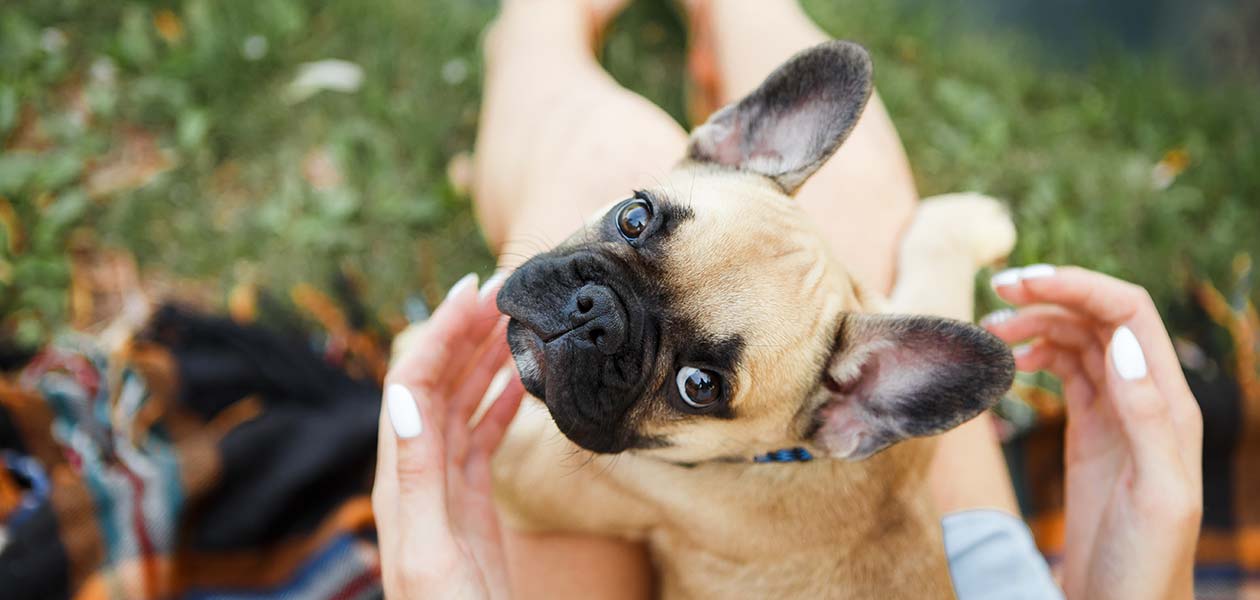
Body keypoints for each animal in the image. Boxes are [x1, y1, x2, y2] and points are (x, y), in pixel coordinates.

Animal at [488, 39, 1013, 597]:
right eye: (635, 216)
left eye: (699, 386)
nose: (596, 315)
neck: (787, 457)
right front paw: (971, 222)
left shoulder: (520, 470)